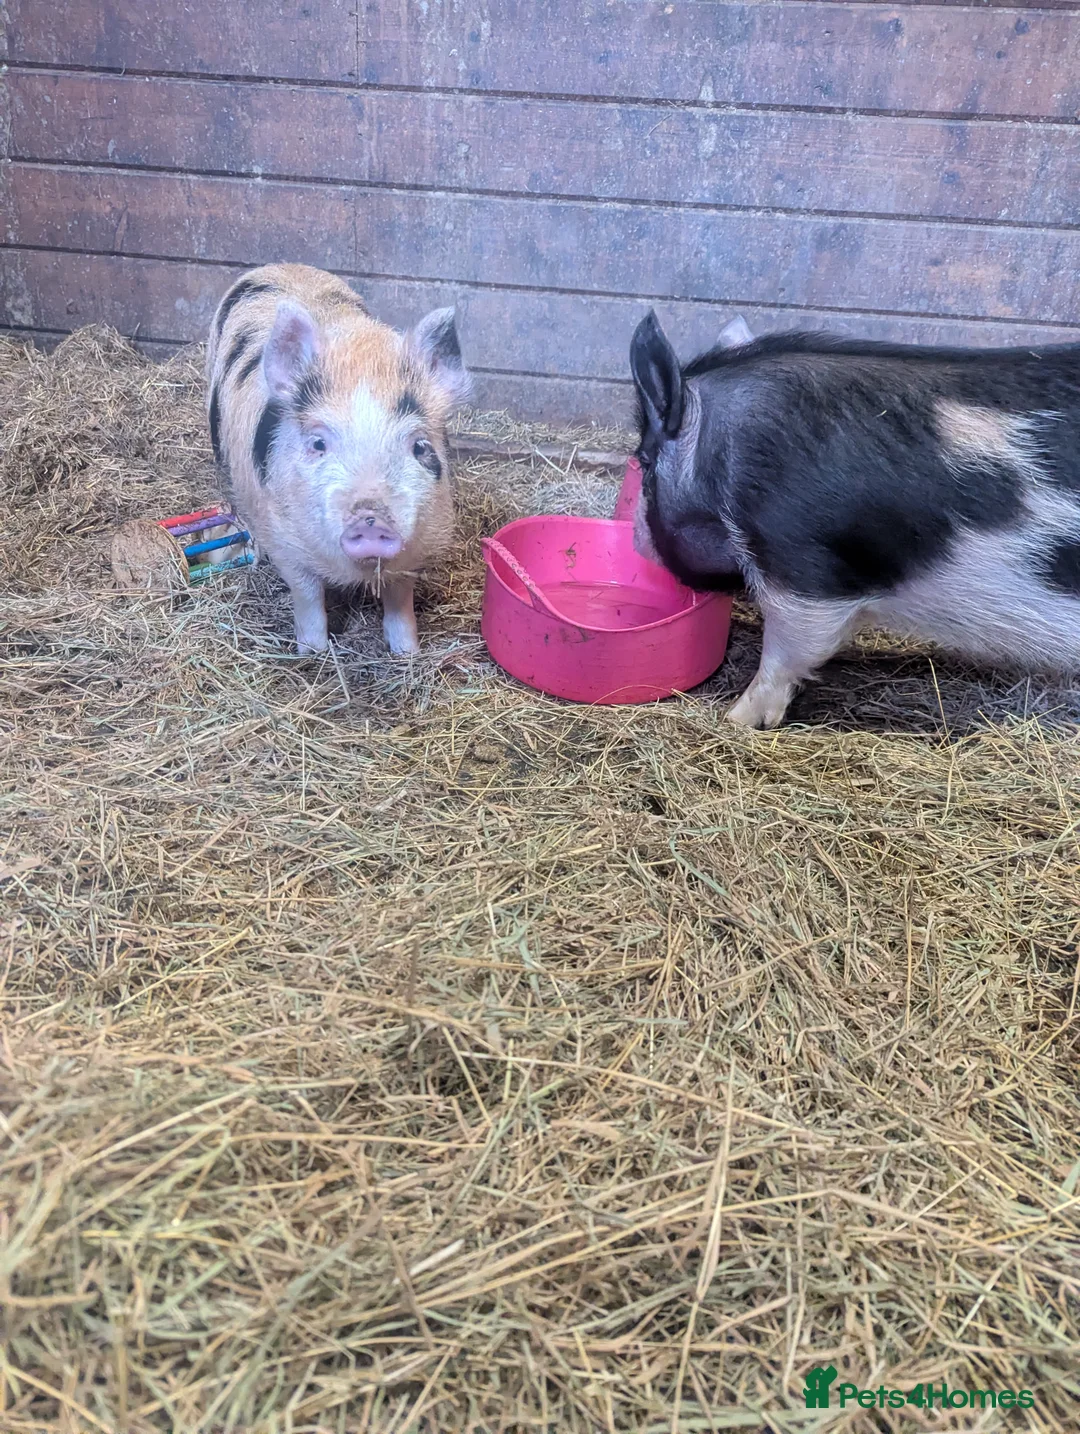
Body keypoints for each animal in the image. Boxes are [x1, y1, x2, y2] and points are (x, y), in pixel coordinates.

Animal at [206, 263, 471, 655]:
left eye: (420, 446)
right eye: (318, 443)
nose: (371, 518)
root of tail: (282, 265)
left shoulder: (420, 546)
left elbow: (400, 601)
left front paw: (407, 652)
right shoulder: (285, 542)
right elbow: (308, 598)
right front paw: (312, 653)